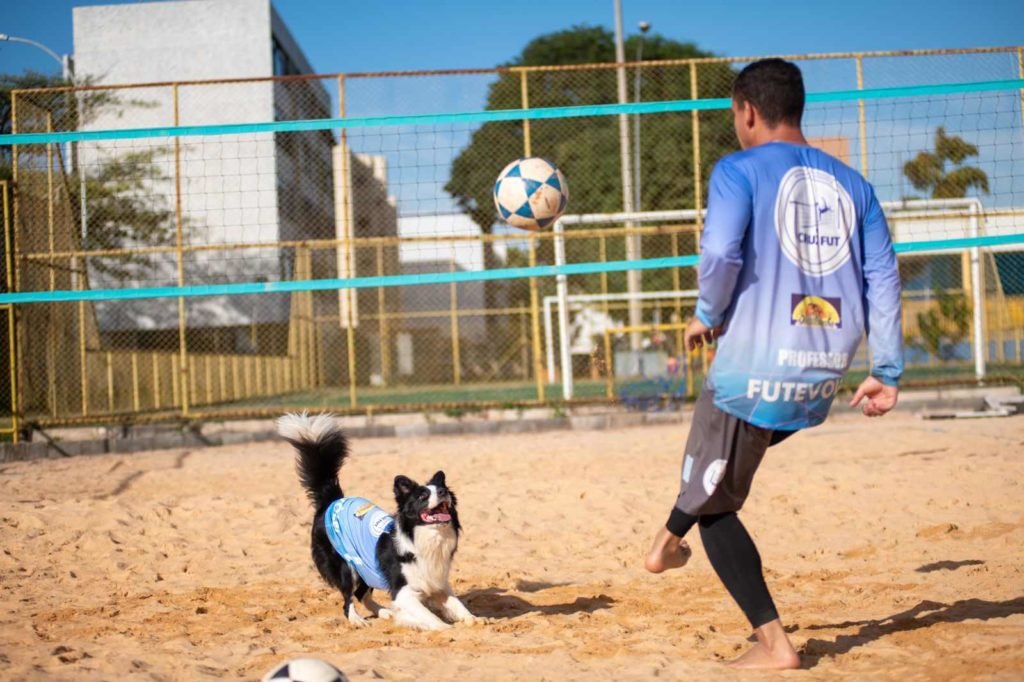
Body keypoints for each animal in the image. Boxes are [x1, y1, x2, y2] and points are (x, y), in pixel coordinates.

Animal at [276, 409, 475, 626]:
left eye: (443, 490)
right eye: (422, 496)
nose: (442, 491)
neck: (425, 537)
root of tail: (332, 499)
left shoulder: (437, 581)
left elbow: (457, 604)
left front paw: (474, 618)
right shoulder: (402, 591)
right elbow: (428, 615)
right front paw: (443, 627)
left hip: (367, 566)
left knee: (362, 594)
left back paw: (384, 612)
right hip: (348, 565)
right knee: (348, 598)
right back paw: (356, 620)